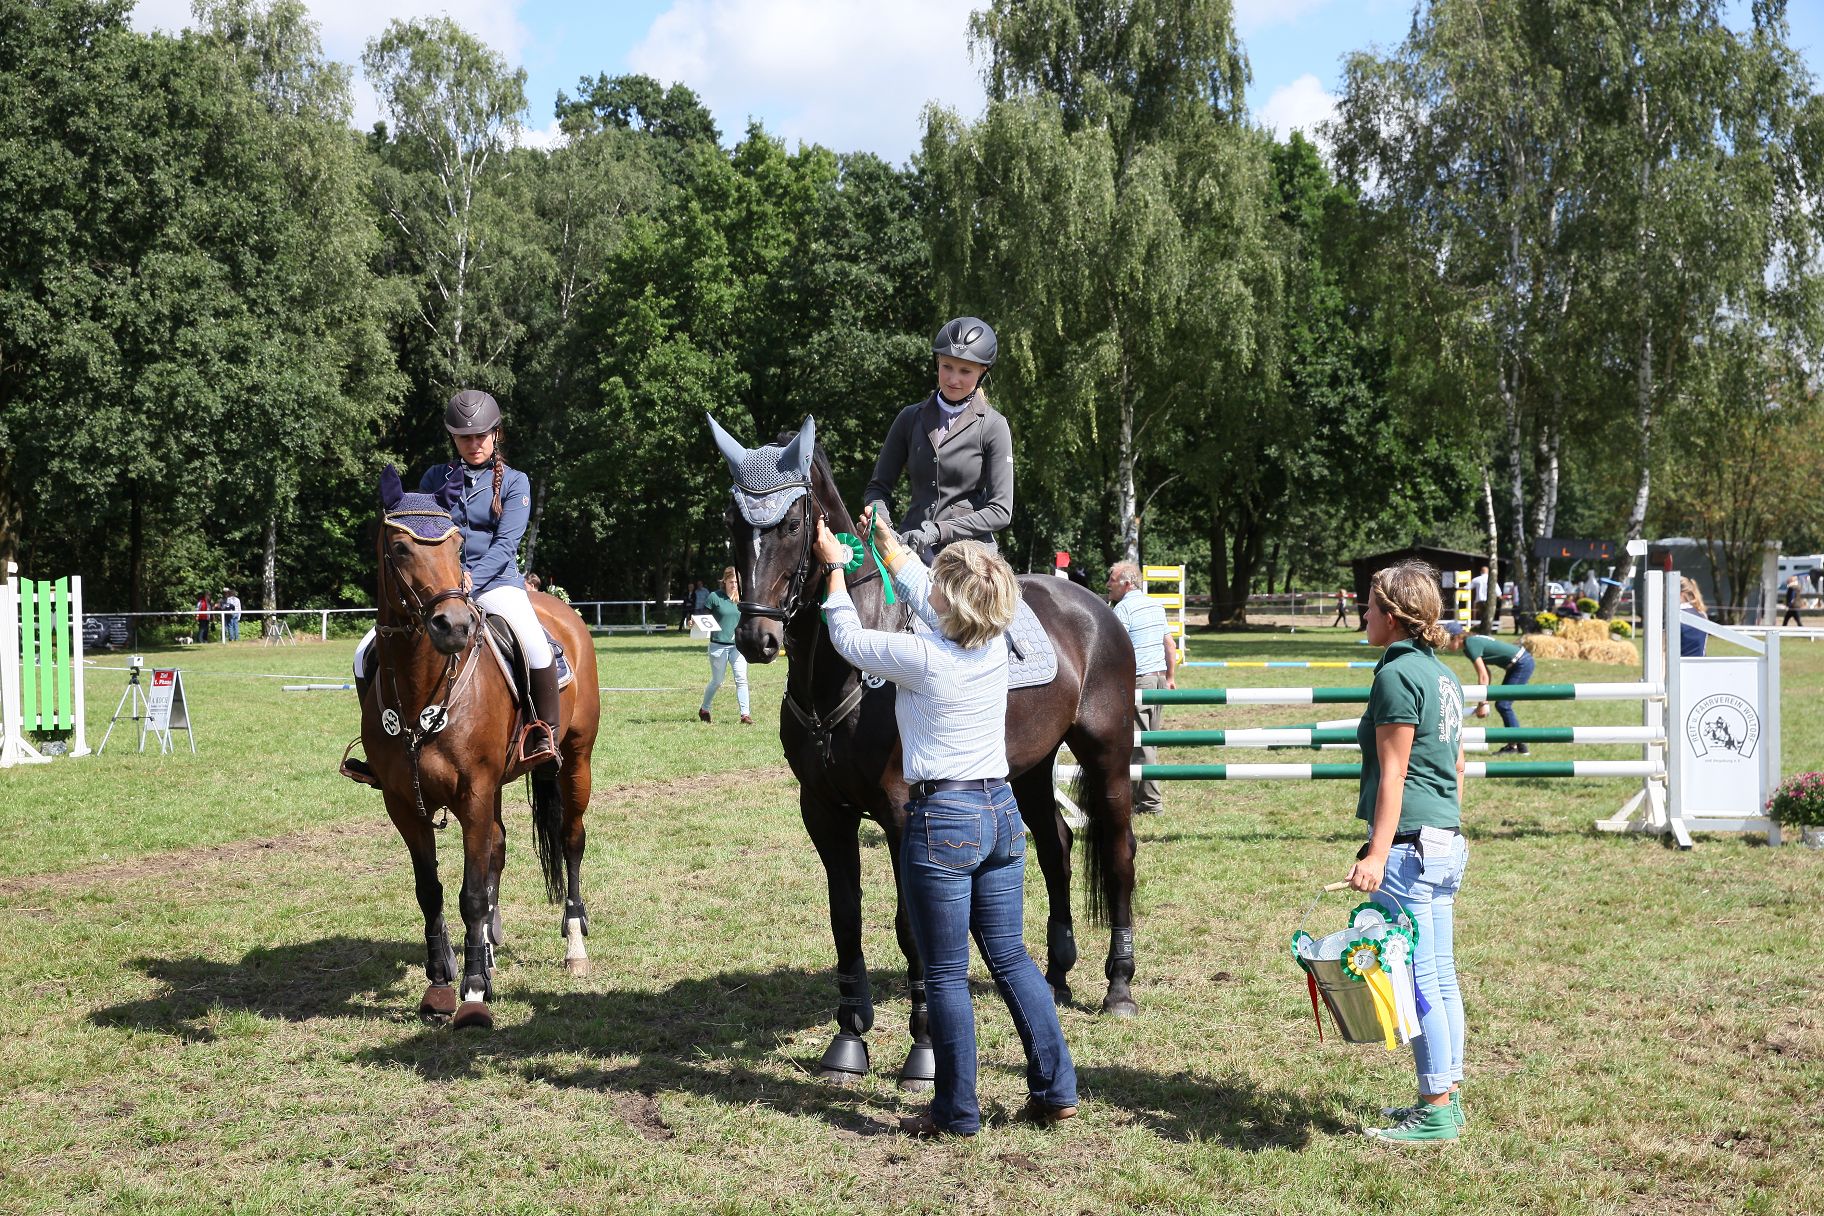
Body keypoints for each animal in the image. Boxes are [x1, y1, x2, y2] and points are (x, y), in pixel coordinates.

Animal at [362, 466, 605, 1028]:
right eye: (400, 547)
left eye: (456, 545)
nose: (454, 625)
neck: (421, 691)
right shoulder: (404, 804)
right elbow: (431, 892)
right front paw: (440, 984)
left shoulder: (472, 793)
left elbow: (471, 894)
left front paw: (472, 994)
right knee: (498, 846)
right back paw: (490, 952)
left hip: (575, 760)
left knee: (571, 839)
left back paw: (574, 945)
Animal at [711, 413, 1138, 1086]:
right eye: (734, 523)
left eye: (792, 523)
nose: (758, 638)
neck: (852, 658)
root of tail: (1096, 607)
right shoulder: (822, 811)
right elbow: (846, 916)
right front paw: (848, 1039)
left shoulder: (904, 811)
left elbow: (913, 925)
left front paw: (925, 1049)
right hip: (1030, 770)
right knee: (1057, 847)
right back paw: (1056, 977)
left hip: (1107, 756)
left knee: (1118, 853)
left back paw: (1118, 986)